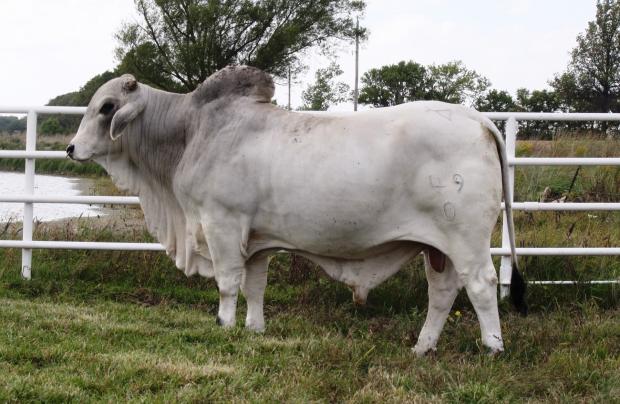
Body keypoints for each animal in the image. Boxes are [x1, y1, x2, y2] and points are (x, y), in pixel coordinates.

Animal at [68, 65, 524, 354]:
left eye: (107, 107)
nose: (71, 149)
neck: (190, 131)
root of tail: (478, 119)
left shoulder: (221, 224)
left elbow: (228, 284)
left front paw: (224, 325)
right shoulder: (257, 240)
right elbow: (254, 286)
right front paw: (253, 329)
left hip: (466, 239)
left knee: (481, 286)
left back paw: (493, 348)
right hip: (437, 248)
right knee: (442, 293)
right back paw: (421, 348)